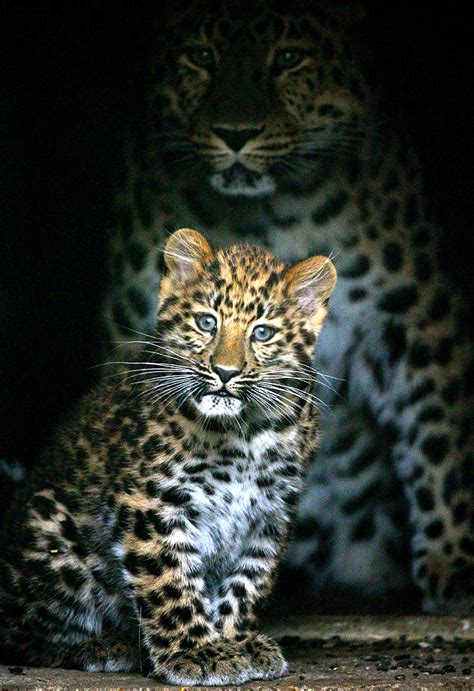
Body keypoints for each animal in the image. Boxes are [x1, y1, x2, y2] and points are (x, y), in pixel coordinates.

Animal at [99, 2, 470, 612]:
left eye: (290, 57)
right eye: (201, 56)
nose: (235, 134)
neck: (264, 210)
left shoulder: (415, 315)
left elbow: (441, 432)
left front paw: (454, 566)